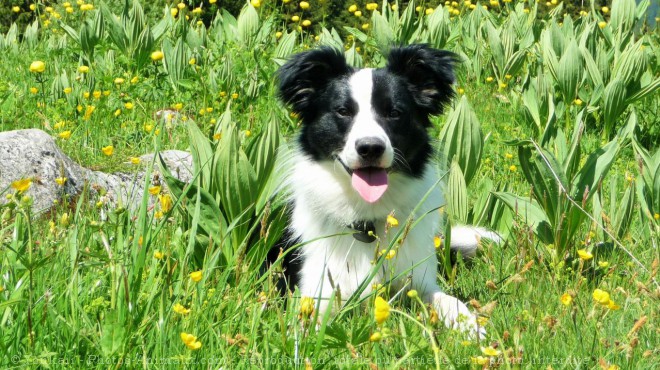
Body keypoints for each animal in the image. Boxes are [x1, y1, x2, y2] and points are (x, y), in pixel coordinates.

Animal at [274, 44, 496, 336]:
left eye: (394, 112)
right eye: (343, 111)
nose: (370, 148)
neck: (365, 221)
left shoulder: (418, 281)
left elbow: (448, 300)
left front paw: (471, 327)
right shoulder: (315, 290)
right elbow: (306, 325)